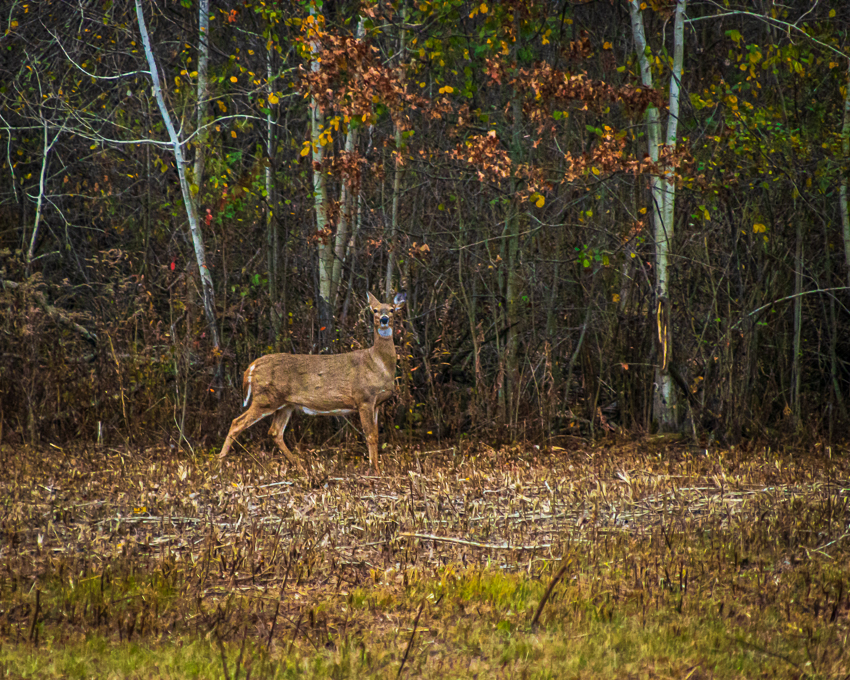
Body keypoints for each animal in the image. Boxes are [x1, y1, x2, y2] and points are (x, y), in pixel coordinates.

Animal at [217, 290, 406, 472]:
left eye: (392, 309)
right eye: (374, 310)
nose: (384, 319)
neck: (377, 363)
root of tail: (252, 366)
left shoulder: (377, 403)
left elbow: (375, 435)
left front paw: (376, 468)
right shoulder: (364, 398)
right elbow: (371, 435)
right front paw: (375, 471)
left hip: (285, 404)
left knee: (275, 432)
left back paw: (301, 468)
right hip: (265, 398)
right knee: (237, 423)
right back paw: (220, 464)